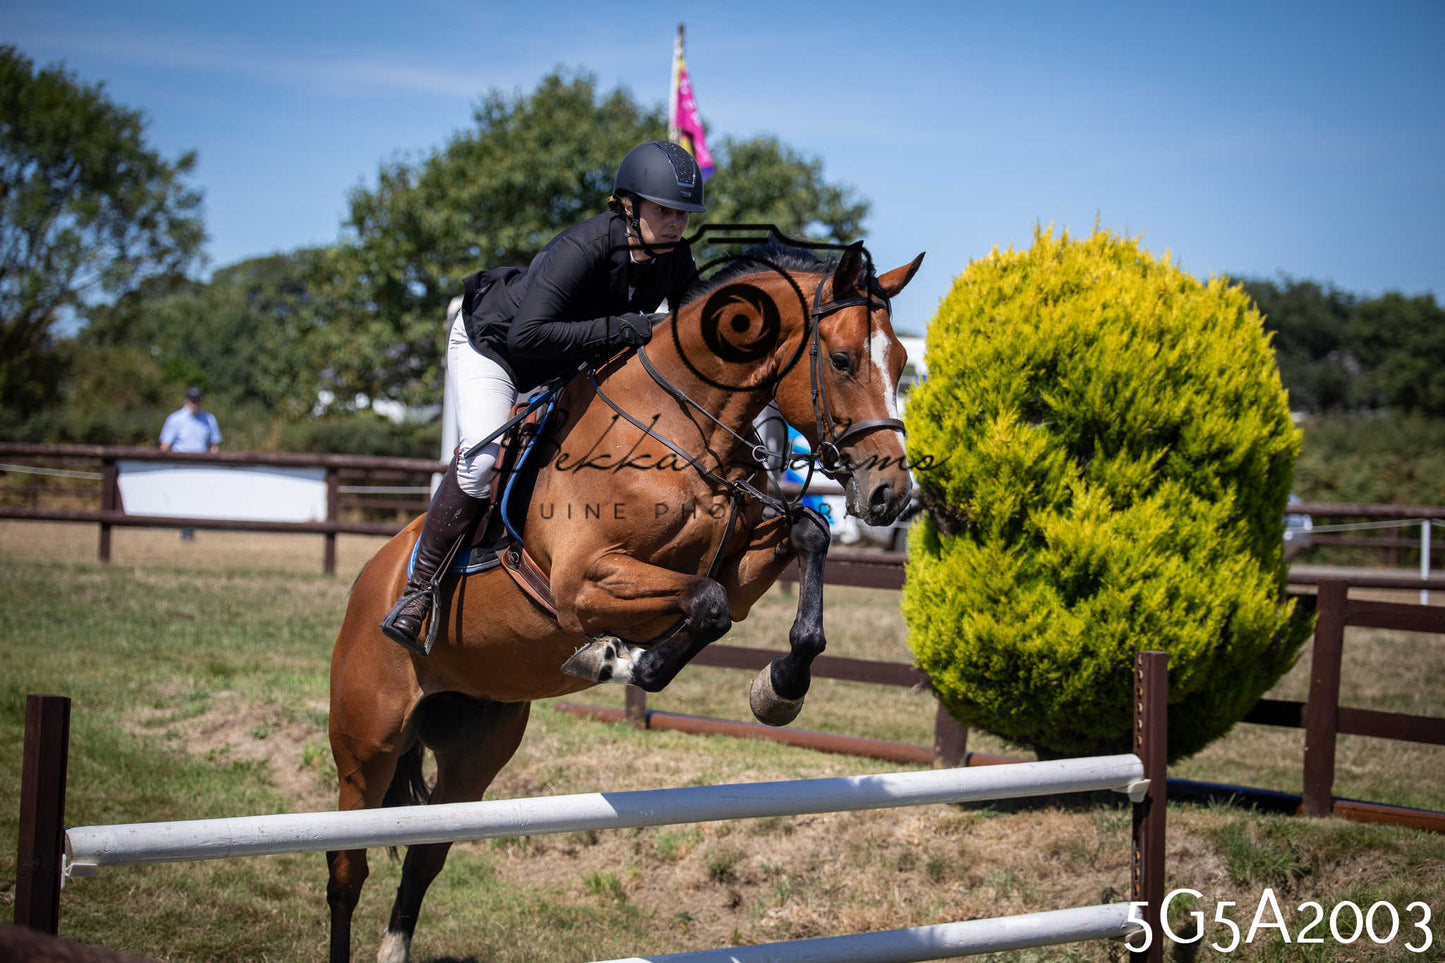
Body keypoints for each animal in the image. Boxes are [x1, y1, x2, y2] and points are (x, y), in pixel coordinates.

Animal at [325, 239, 925, 963]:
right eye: (840, 359)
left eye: (900, 362)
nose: (892, 495)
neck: (685, 430)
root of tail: (370, 583)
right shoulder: (583, 585)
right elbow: (704, 603)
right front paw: (613, 659)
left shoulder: (737, 563)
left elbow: (797, 543)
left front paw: (779, 687)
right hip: (367, 744)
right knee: (346, 866)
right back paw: (412, 612)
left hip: (478, 745)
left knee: (424, 852)